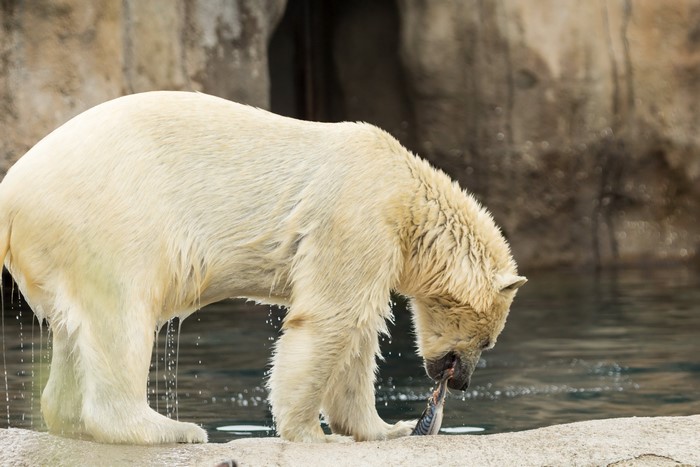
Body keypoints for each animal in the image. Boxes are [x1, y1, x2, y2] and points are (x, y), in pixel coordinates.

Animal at [0, 91, 525, 444]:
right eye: (487, 341)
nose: (461, 382)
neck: (407, 192)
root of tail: (13, 188)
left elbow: (360, 332)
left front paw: (385, 428)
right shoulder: (356, 215)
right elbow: (331, 318)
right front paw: (311, 434)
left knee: (74, 330)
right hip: (110, 216)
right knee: (122, 315)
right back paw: (172, 429)